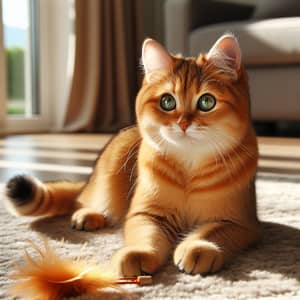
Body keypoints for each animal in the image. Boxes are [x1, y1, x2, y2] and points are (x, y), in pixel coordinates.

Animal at [3, 34, 258, 276]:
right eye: (167, 101)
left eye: (207, 101)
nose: (183, 124)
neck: (189, 165)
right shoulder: (145, 213)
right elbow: (146, 234)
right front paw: (138, 253)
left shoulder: (238, 222)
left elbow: (212, 233)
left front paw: (198, 248)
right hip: (107, 179)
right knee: (83, 199)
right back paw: (88, 215)